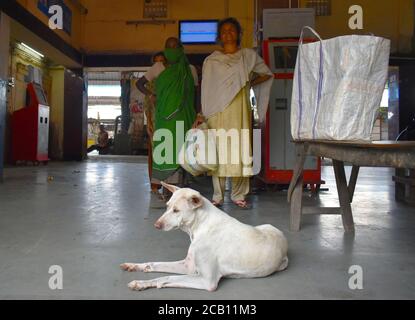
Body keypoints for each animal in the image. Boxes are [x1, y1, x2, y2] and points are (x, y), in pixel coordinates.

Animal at [120, 181, 290, 292]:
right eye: (167, 206)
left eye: (176, 210)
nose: (156, 225)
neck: (200, 226)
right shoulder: (188, 266)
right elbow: (154, 264)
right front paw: (136, 267)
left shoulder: (207, 281)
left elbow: (166, 278)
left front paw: (142, 283)